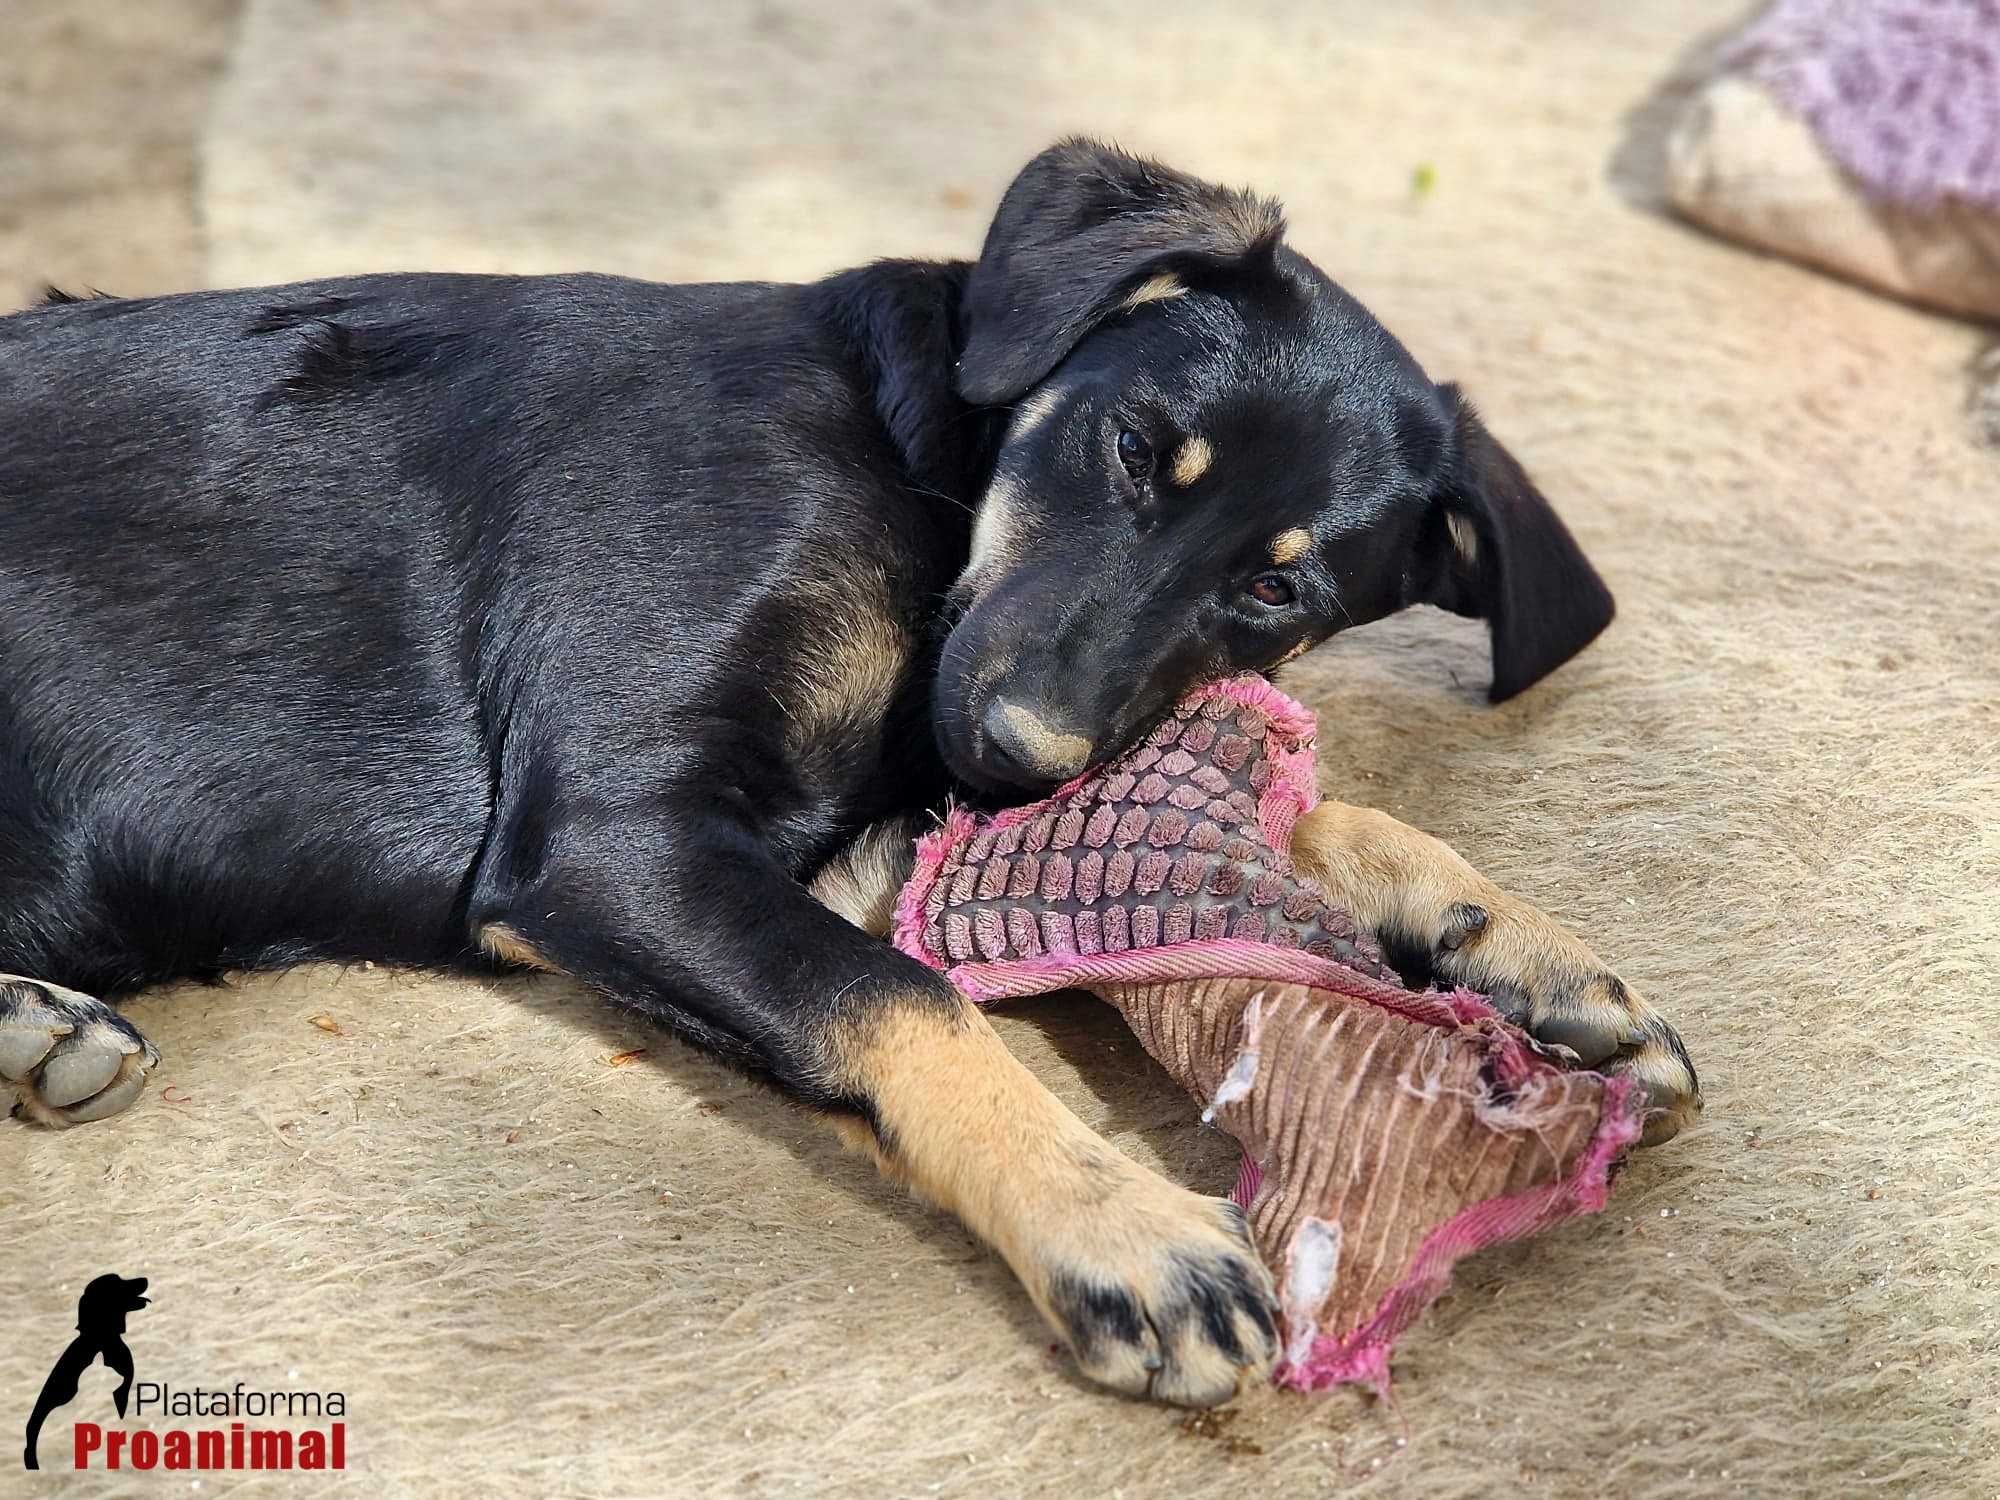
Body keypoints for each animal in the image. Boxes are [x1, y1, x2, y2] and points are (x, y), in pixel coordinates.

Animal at [0, 141, 1688, 1408]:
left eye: (1279, 588)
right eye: (1136, 450)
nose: (1014, 757)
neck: (910, 454)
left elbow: (1311, 819)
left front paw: (1515, 943)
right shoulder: (612, 837)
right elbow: (908, 1000)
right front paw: (1118, 1221)